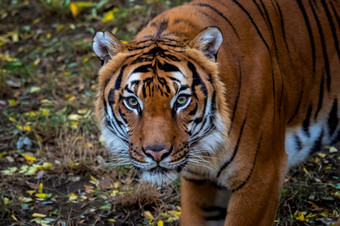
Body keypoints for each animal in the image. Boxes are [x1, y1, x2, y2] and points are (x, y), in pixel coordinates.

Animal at [91, 0, 340, 224]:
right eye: (133, 102)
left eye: (181, 100)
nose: (157, 153)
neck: (207, 147)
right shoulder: (199, 181)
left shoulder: (262, 176)